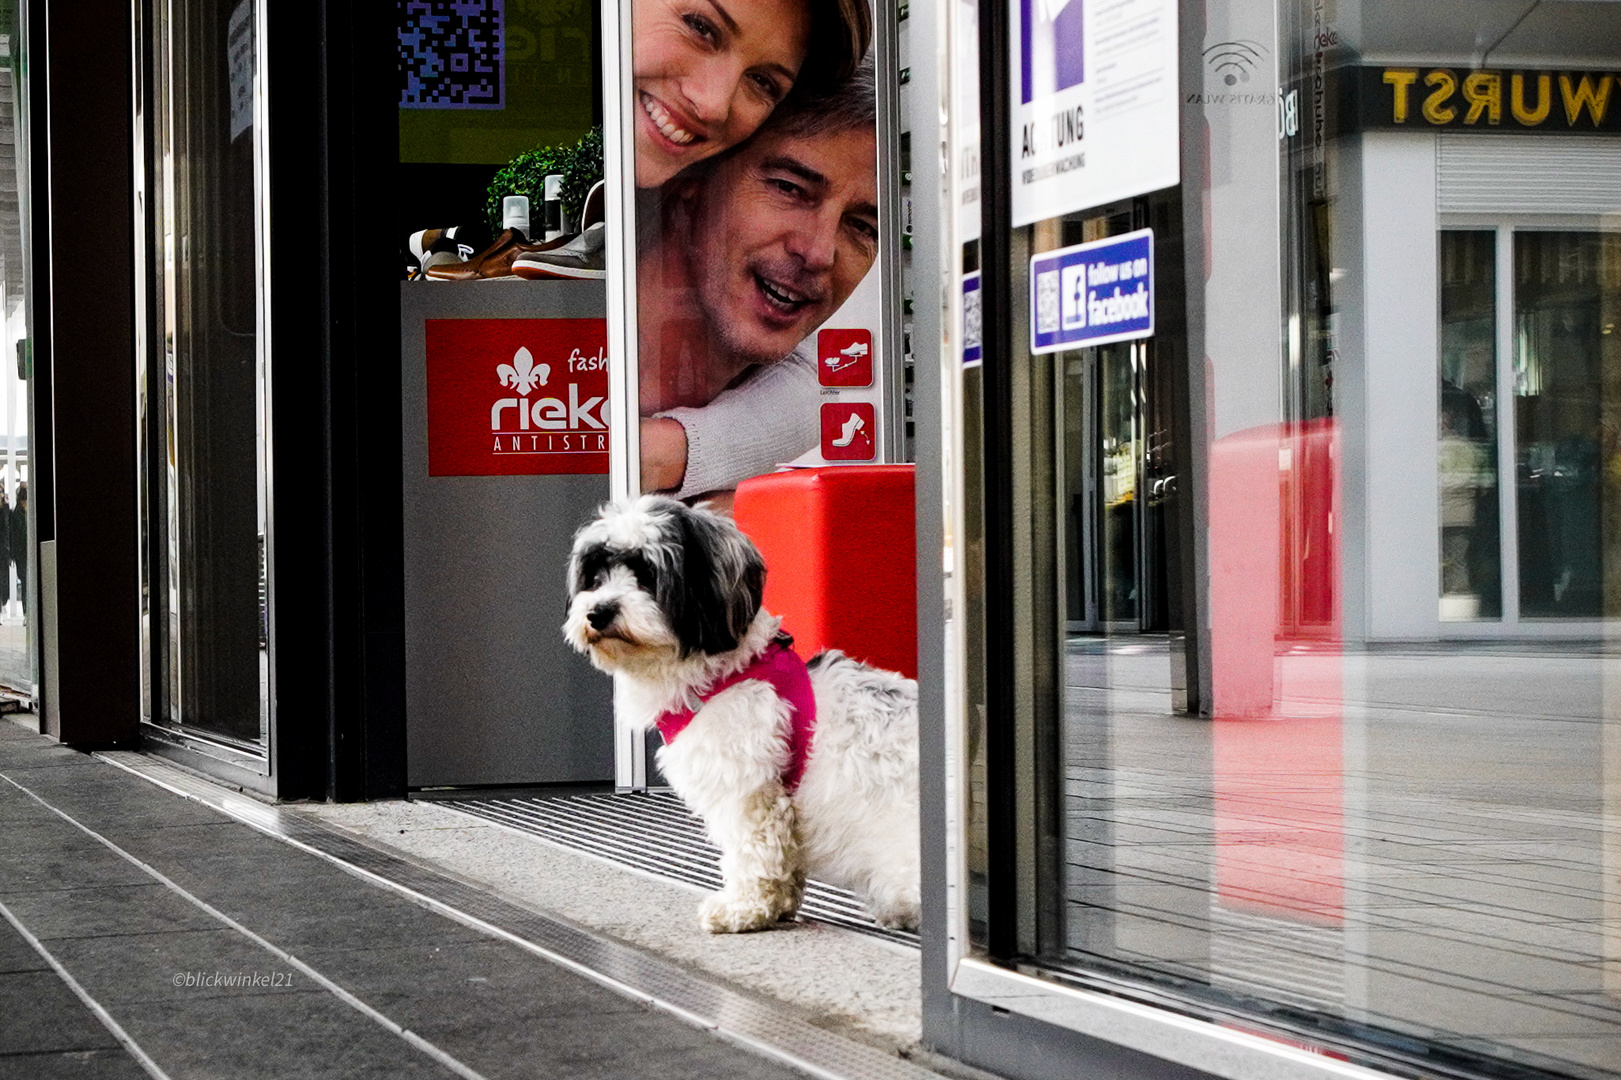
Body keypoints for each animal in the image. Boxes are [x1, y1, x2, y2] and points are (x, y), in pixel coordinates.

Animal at [560, 492, 920, 927]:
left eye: (647, 575)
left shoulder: (748, 789)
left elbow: (754, 852)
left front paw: (743, 907)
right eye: (595, 577)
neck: (724, 673)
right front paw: (779, 905)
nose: (598, 612)